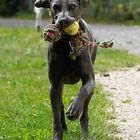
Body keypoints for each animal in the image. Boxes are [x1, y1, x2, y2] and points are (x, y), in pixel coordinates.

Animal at [34, 0, 97, 139]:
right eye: (55, 7)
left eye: (73, 6)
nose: (63, 21)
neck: (67, 42)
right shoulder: (54, 85)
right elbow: (55, 116)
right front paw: (58, 134)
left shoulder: (90, 80)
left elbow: (83, 90)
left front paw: (75, 107)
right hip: (59, 87)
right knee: (60, 104)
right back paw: (64, 125)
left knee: (85, 112)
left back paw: (85, 132)